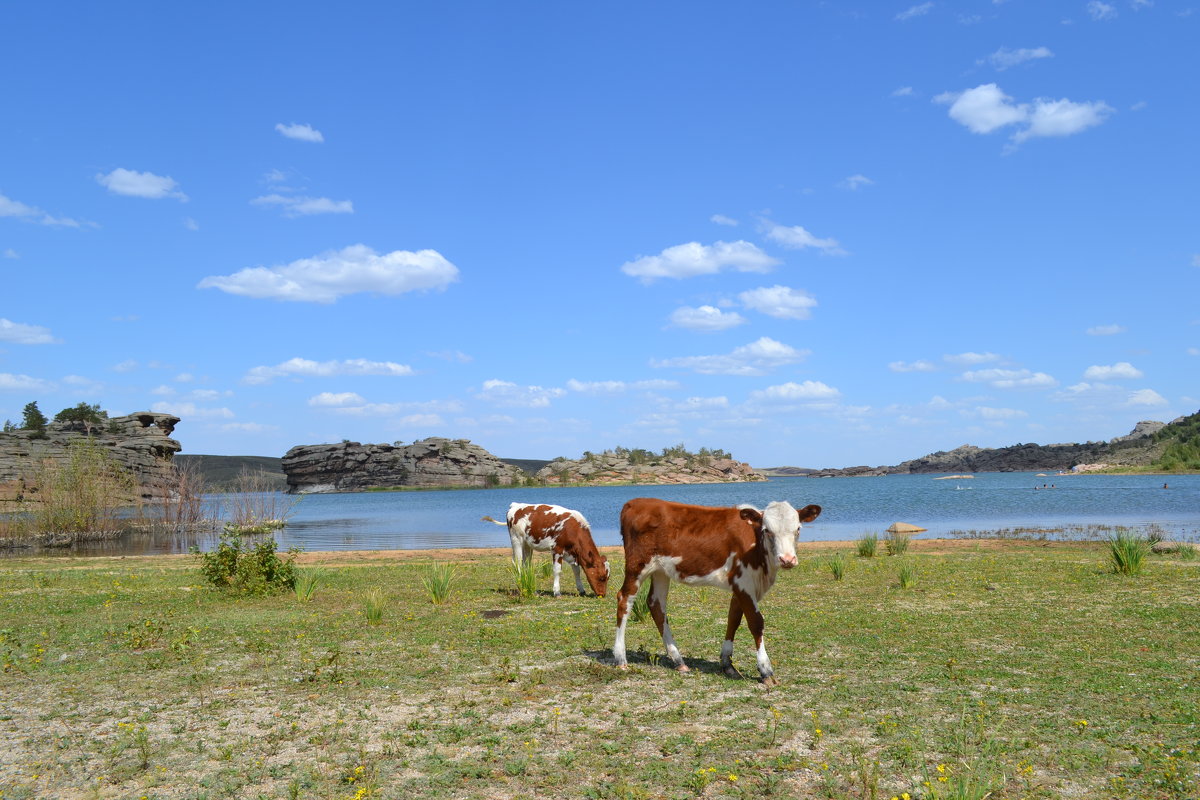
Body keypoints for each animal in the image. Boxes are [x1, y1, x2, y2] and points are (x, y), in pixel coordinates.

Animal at [480, 503, 609, 597]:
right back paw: (520, 584)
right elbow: (557, 570)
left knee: (526, 563)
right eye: (601, 577)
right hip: (516, 540)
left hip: (527, 544)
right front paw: (556, 592)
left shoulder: (572, 553)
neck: (573, 529)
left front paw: (581, 590)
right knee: (517, 563)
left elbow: (577, 571)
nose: (602, 595)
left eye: (607, 578)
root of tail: (515, 505)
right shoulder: (557, 549)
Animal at [614, 496, 820, 686]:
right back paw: (620, 658)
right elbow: (756, 623)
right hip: (637, 565)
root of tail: (636, 502)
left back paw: (678, 660)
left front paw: (727, 664)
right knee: (625, 599)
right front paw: (765, 670)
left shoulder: (740, 585)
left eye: (798, 529)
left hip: (660, 571)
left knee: (656, 604)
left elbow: (733, 619)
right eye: (767, 530)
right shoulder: (743, 582)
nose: (787, 559)